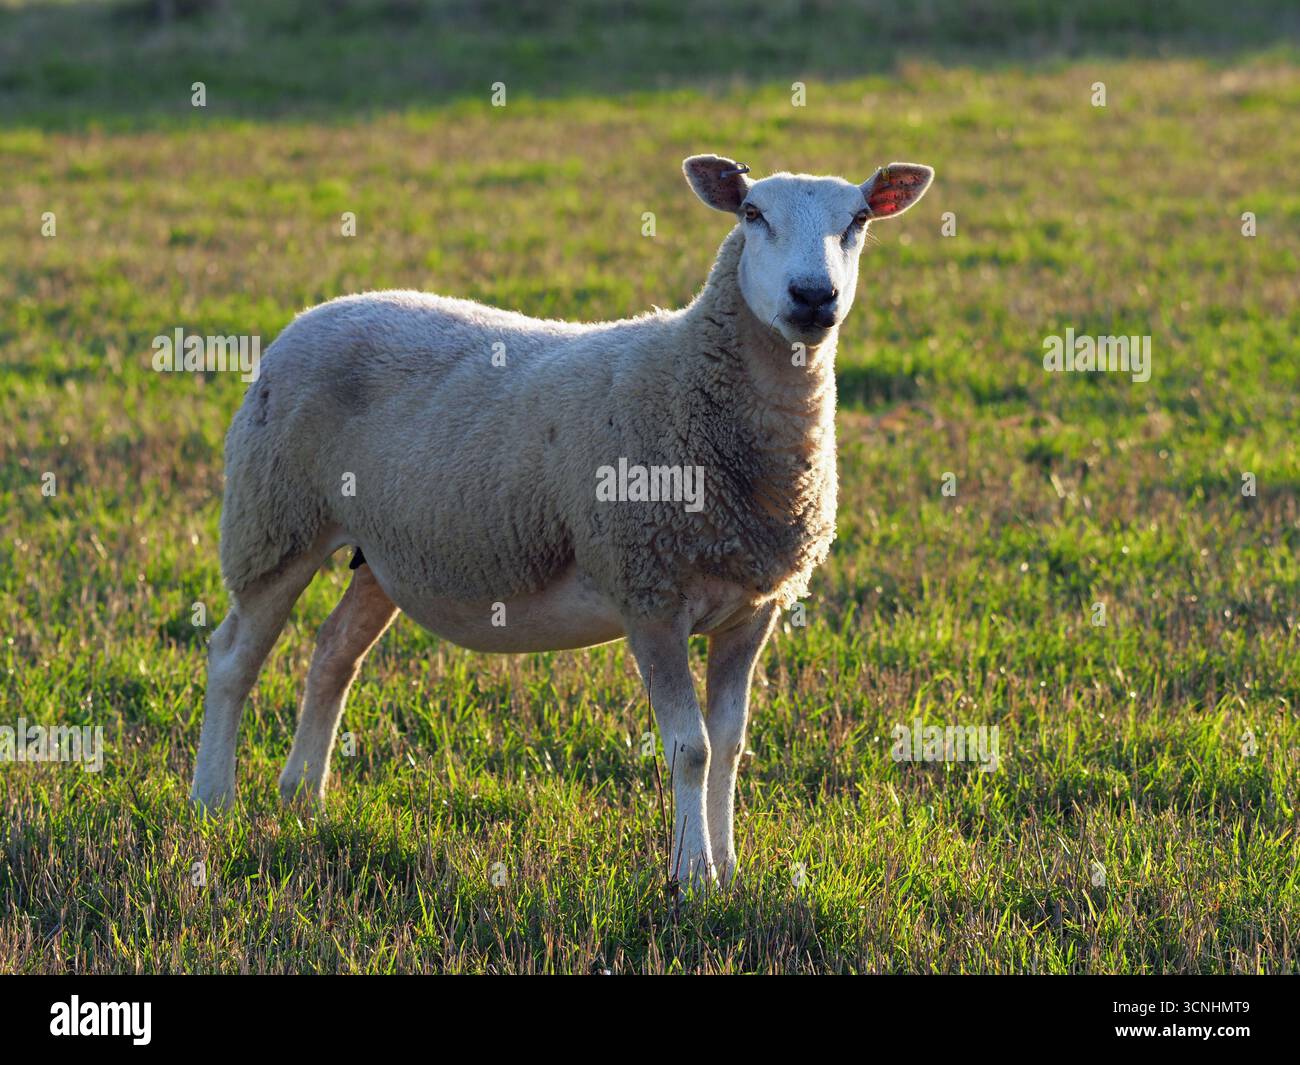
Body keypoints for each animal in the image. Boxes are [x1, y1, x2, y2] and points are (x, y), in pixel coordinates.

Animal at [190, 153, 934, 888]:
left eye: (858, 220)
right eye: (753, 214)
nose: (812, 297)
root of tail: (312, 315)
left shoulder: (753, 608)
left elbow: (729, 744)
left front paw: (728, 872)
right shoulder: (649, 592)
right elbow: (690, 748)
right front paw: (692, 878)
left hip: (381, 553)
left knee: (333, 654)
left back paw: (302, 799)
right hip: (275, 521)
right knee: (233, 658)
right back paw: (214, 802)